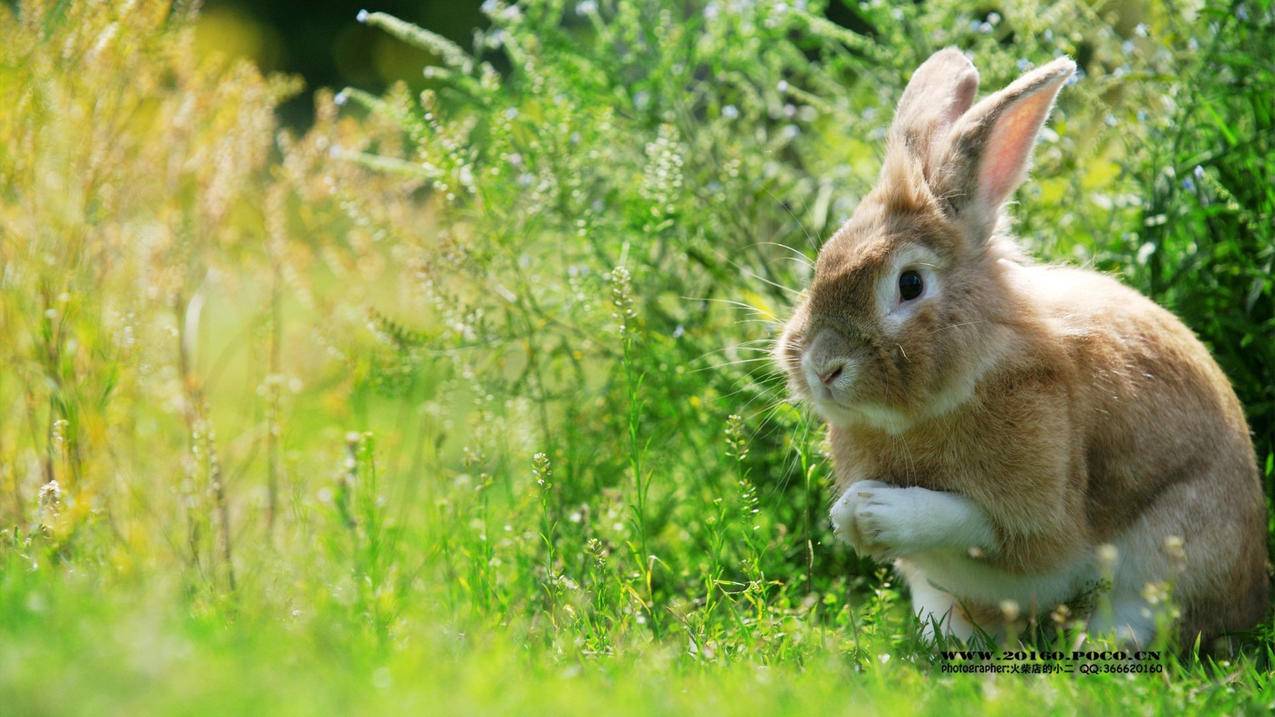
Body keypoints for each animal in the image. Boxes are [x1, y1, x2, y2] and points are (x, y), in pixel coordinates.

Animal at [770, 47, 1269, 645]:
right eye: (822, 265)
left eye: (909, 283)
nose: (823, 366)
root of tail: (1253, 589)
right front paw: (849, 514)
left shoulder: (1046, 501)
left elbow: (981, 525)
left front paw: (871, 511)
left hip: (1169, 557)